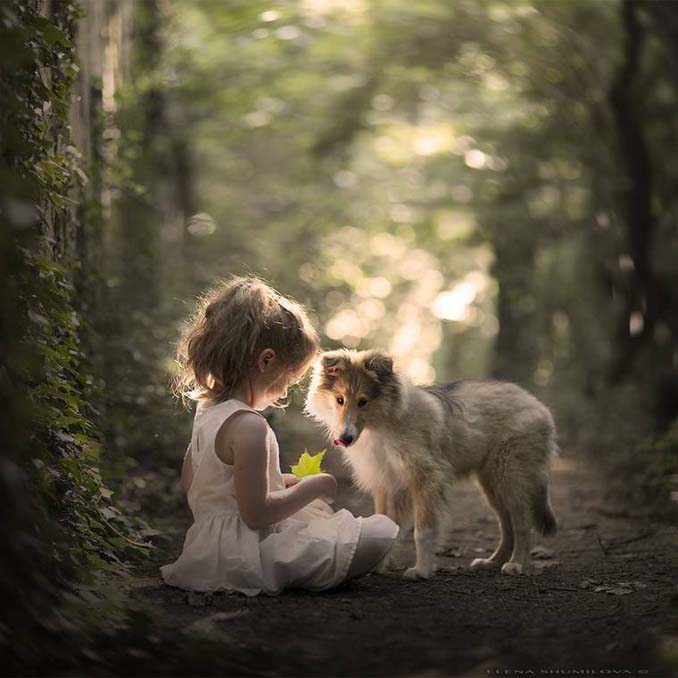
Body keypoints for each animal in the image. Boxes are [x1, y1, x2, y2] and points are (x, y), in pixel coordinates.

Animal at [306, 350, 560, 580]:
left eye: (363, 401)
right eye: (340, 400)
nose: (345, 438)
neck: (382, 425)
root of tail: (535, 402)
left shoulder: (425, 479)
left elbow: (422, 531)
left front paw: (422, 571)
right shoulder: (387, 484)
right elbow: (386, 524)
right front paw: (376, 565)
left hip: (510, 478)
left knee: (522, 525)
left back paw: (517, 564)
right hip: (492, 486)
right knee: (506, 526)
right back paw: (492, 562)